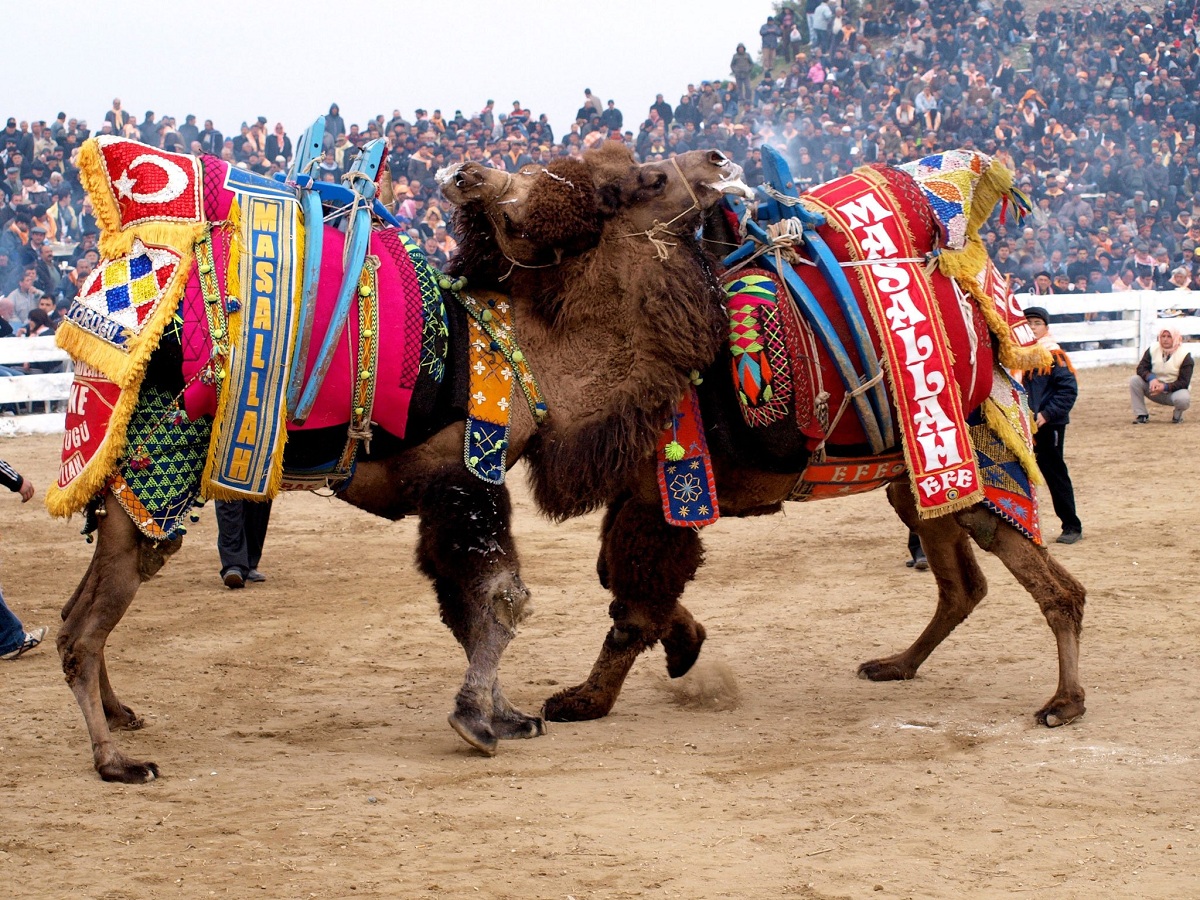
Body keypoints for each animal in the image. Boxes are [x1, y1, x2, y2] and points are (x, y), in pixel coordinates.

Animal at [58, 142, 748, 782]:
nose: (720, 160)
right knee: (82, 632)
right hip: (156, 467)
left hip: (119, 484)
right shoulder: (463, 477)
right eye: (647, 178)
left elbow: (464, 607)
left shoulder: (442, 494)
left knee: (74, 613)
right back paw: (116, 760)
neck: (531, 352)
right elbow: (501, 599)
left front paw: (508, 715)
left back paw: (122, 716)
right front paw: (476, 722)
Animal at [439, 151, 1089, 734]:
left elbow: (632, 602)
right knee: (962, 586)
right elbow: (617, 579)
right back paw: (897, 664)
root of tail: (995, 322)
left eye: (521, 199)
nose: (462, 173)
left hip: (974, 462)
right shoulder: (642, 494)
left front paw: (584, 700)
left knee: (1056, 587)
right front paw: (685, 645)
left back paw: (1064, 703)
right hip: (916, 482)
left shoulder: (664, 494)